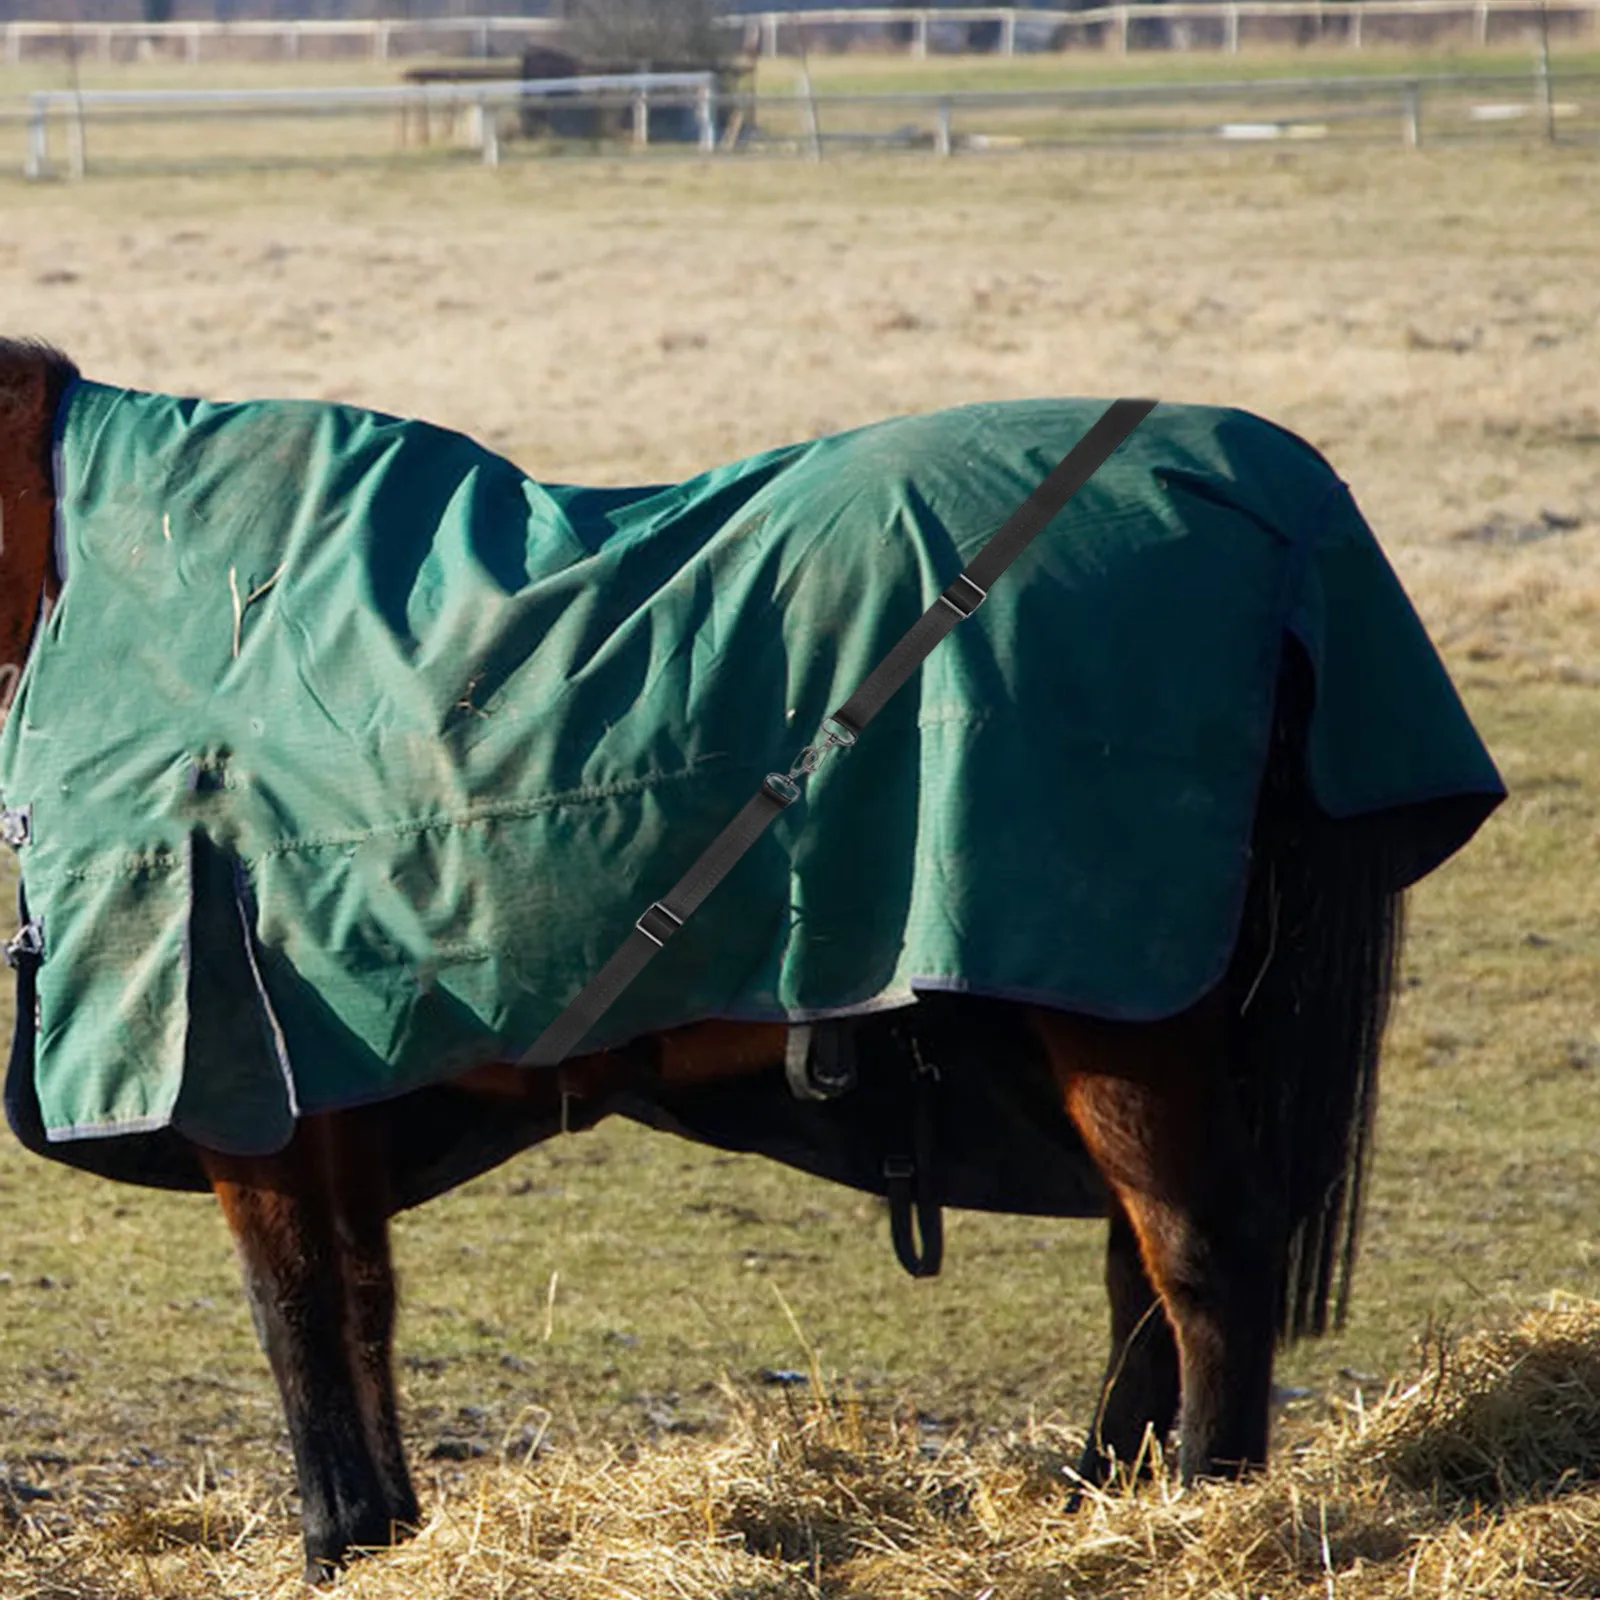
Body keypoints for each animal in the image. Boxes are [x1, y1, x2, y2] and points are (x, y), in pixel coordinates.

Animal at [0, 337, 1502, 1581]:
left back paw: (1205, 1513)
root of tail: (1269, 506)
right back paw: (1101, 1499)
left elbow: (296, 1309)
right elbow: (357, 1304)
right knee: (1147, 1264)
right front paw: (386, 1538)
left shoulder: (236, 1077)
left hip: (1126, 1010)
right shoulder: (329, 1088)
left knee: (1203, 1252)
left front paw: (339, 1537)